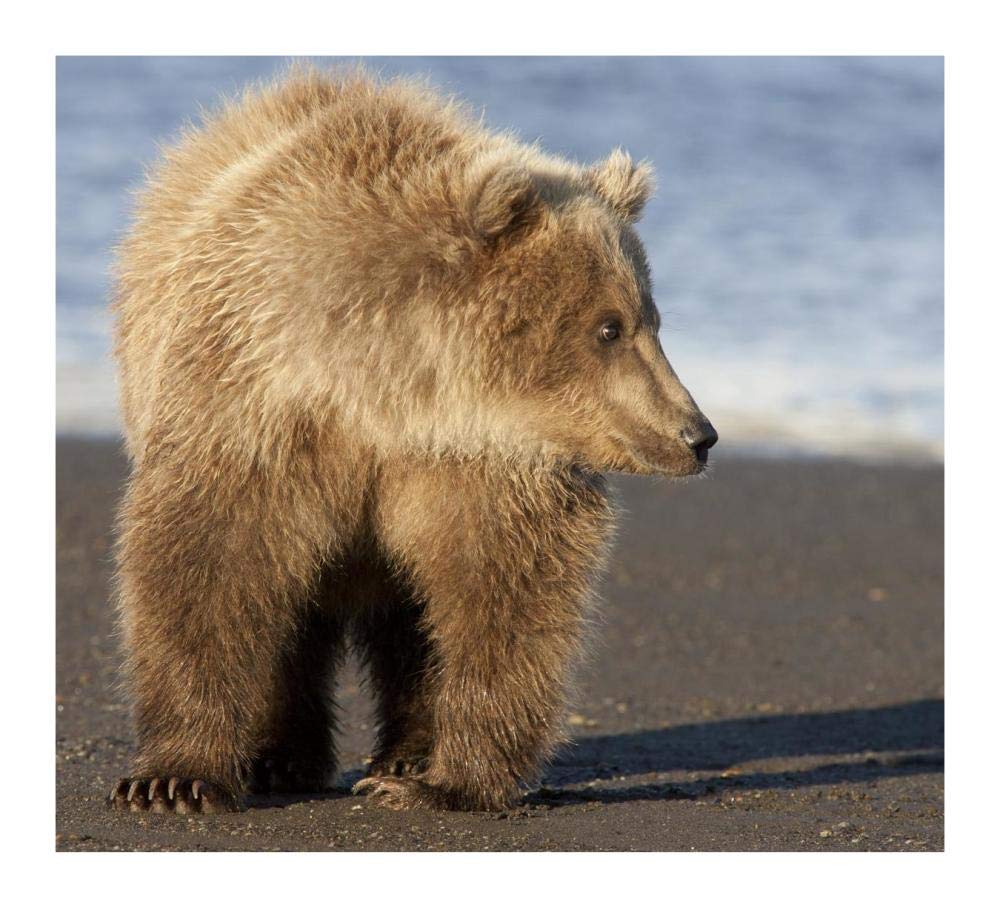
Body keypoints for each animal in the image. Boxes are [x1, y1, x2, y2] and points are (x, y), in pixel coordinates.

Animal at [107, 67, 717, 814]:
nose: (698, 434)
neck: (389, 388)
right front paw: (172, 778)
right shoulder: (253, 404)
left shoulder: (480, 460)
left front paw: (443, 780)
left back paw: (401, 756)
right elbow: (208, 560)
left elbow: (504, 594)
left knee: (411, 617)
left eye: (651, 317)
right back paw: (279, 757)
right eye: (611, 326)